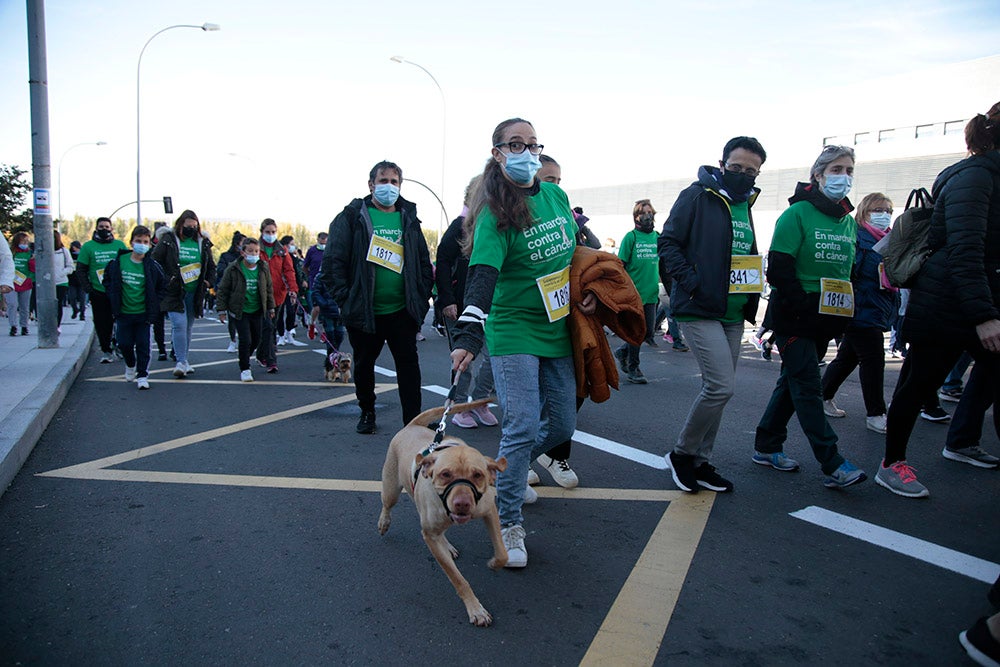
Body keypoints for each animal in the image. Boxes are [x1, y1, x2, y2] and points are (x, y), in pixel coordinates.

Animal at [380, 400, 512, 628]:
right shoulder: (429, 535)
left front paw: (495, 563)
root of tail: (411, 425)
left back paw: (448, 545)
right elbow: (458, 579)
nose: (462, 504)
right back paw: (384, 522)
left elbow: (502, 553)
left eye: (478, 475)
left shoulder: (489, 511)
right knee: (387, 505)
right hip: (391, 490)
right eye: (445, 474)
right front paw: (475, 609)